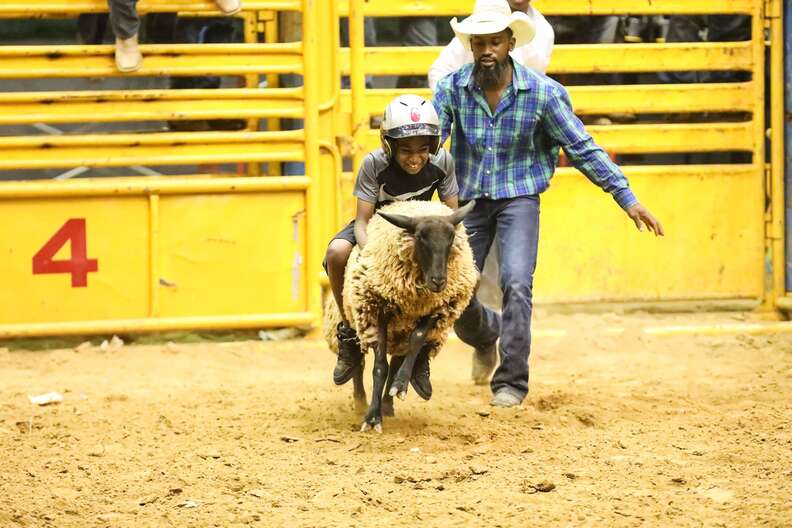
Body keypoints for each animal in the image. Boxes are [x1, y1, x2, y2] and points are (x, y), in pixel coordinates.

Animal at [322, 200, 476, 432]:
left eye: (451, 237)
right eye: (420, 237)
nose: (438, 281)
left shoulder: (436, 306)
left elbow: (417, 340)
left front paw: (400, 385)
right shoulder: (379, 309)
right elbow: (379, 367)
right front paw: (371, 418)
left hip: (401, 331)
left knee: (398, 358)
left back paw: (389, 402)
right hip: (358, 317)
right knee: (359, 360)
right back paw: (359, 398)